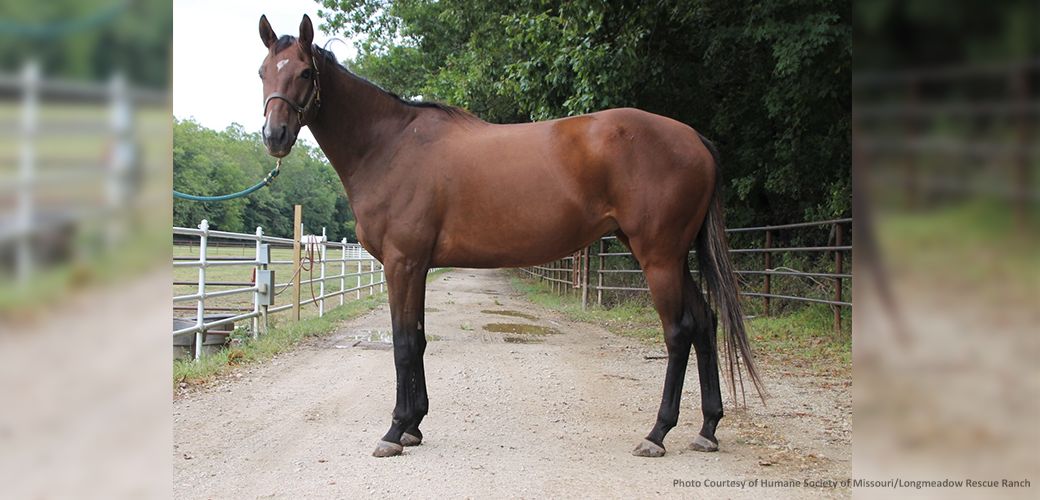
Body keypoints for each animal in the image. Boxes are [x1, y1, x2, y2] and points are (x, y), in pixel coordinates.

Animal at [258, 14, 764, 458]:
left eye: (305, 72)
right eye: (263, 71)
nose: (274, 135)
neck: (389, 146)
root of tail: (695, 139)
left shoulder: (403, 262)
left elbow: (403, 345)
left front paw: (395, 430)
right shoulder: (416, 266)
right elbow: (418, 340)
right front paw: (414, 426)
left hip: (658, 256)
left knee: (679, 333)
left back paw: (657, 434)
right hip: (673, 257)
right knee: (705, 323)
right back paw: (707, 429)